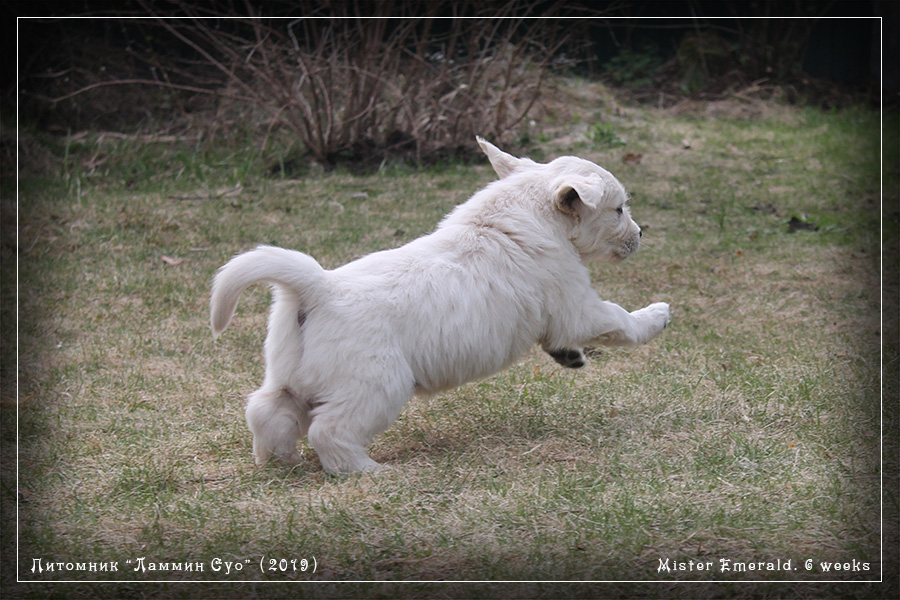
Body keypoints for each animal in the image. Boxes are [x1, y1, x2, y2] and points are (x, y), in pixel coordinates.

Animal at [210, 138, 671, 474]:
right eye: (618, 209)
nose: (641, 233)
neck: (526, 216)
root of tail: (317, 288)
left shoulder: (562, 316)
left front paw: (569, 357)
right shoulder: (576, 304)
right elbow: (618, 319)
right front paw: (657, 315)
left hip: (291, 377)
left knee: (267, 411)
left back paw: (279, 461)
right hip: (376, 384)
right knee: (329, 430)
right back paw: (369, 471)